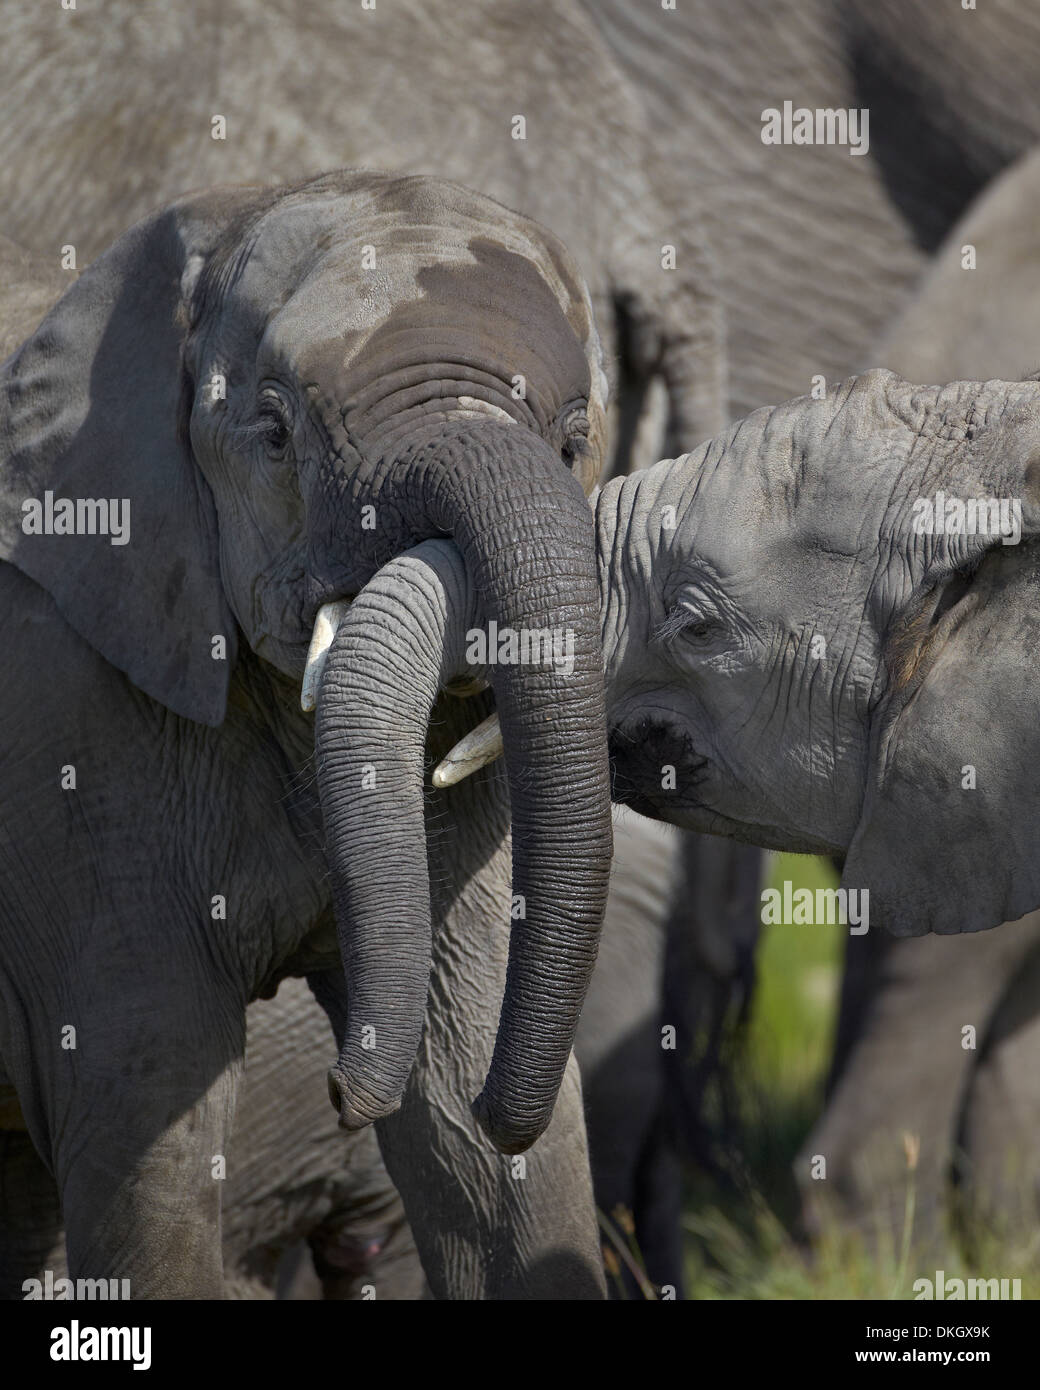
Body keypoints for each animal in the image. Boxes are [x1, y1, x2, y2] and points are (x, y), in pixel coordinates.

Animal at [0, 176, 617, 1301]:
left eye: (569, 441)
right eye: (276, 433)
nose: (338, 1093)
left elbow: (474, 1134)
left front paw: (484, 1117)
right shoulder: (63, 735)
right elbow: (150, 1117)